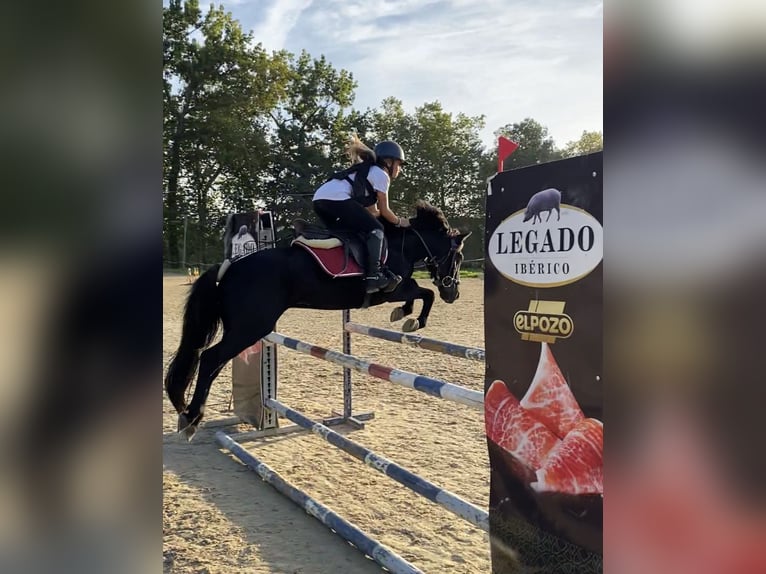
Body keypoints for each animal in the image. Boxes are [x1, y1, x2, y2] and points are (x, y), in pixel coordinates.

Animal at [165, 200, 472, 438]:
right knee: (209, 358)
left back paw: (189, 414)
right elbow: (425, 293)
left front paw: (404, 314)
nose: (453, 293)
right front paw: (413, 319)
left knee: (213, 362)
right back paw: (191, 419)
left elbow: (420, 293)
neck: (402, 246)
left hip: (242, 328)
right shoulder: (393, 289)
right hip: (251, 327)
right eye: (457, 257)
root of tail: (230, 266)